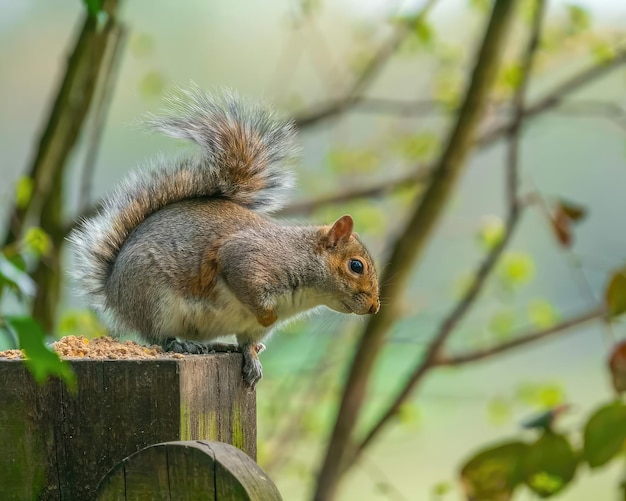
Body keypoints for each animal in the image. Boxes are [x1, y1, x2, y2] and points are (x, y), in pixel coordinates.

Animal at [69, 87, 380, 386]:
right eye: (356, 266)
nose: (374, 307)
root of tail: (112, 288)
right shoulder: (248, 259)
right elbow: (247, 285)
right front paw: (268, 317)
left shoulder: (252, 328)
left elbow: (247, 342)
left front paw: (251, 358)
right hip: (154, 299)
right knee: (158, 336)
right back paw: (182, 345)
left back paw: (218, 345)